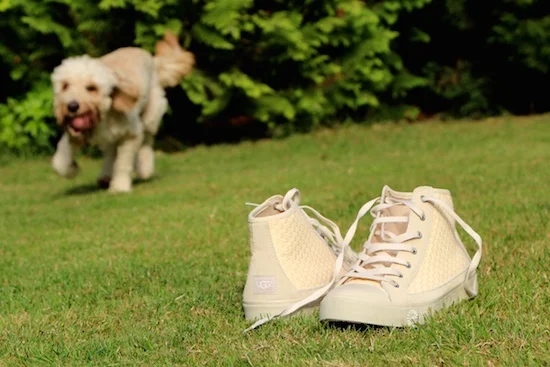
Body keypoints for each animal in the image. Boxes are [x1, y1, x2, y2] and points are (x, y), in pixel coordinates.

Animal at [50, 33, 196, 194]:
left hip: (151, 116)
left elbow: (122, 163)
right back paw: (105, 176)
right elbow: (60, 161)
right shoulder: (73, 135)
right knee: (110, 151)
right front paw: (71, 169)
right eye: (65, 85)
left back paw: (144, 168)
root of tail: (153, 60)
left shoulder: (130, 135)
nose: (72, 106)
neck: (102, 116)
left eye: (91, 88)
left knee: (146, 142)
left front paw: (119, 186)